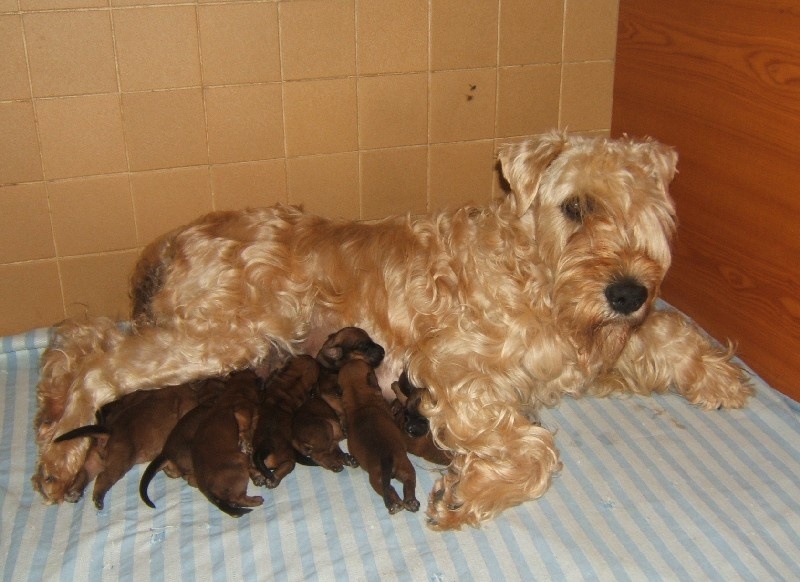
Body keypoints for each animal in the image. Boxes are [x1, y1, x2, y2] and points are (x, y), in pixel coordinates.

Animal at [54, 384, 214, 512]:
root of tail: (109, 431)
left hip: (94, 458)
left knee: (84, 472)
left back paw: (73, 492)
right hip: (119, 461)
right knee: (103, 477)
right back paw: (98, 499)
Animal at [253, 356, 322, 488]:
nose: (311, 357)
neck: (295, 380)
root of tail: (266, 447)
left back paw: (258, 477)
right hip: (287, 458)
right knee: (288, 465)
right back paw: (274, 479)